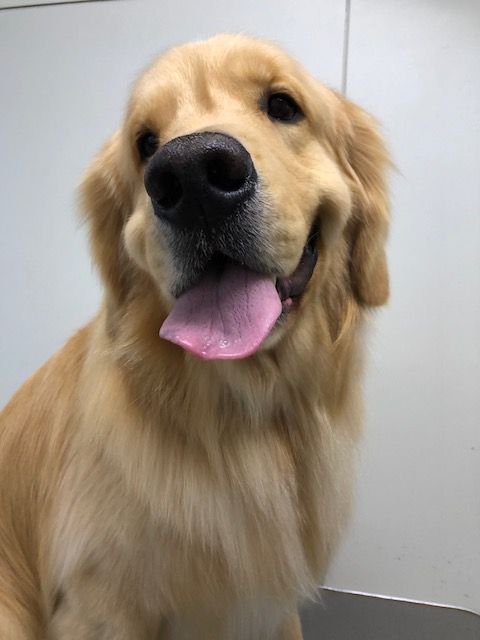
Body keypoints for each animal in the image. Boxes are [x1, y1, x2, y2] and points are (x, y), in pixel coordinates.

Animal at [0, 34, 389, 639]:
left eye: (283, 105)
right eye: (145, 142)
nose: (191, 177)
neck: (246, 418)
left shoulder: (270, 605)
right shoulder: (99, 603)